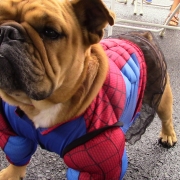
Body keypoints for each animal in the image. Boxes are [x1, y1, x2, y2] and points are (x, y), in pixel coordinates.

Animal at [0, 0, 177, 179]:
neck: (42, 105)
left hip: (162, 97)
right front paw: (11, 174)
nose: (5, 31)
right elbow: (18, 155)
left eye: (50, 32)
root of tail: (141, 35)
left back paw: (168, 135)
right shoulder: (14, 135)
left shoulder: (97, 164)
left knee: (166, 117)